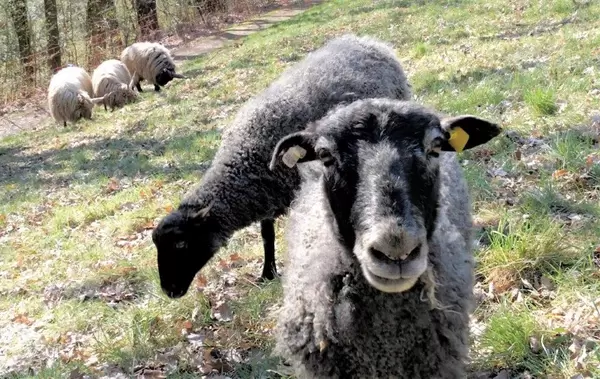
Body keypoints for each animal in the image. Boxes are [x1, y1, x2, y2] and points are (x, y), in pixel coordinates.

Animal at [150, 34, 412, 298]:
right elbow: (267, 235)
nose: (169, 291)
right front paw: (268, 272)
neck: (246, 159)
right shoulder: (267, 194)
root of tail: (369, 42)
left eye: (182, 243)